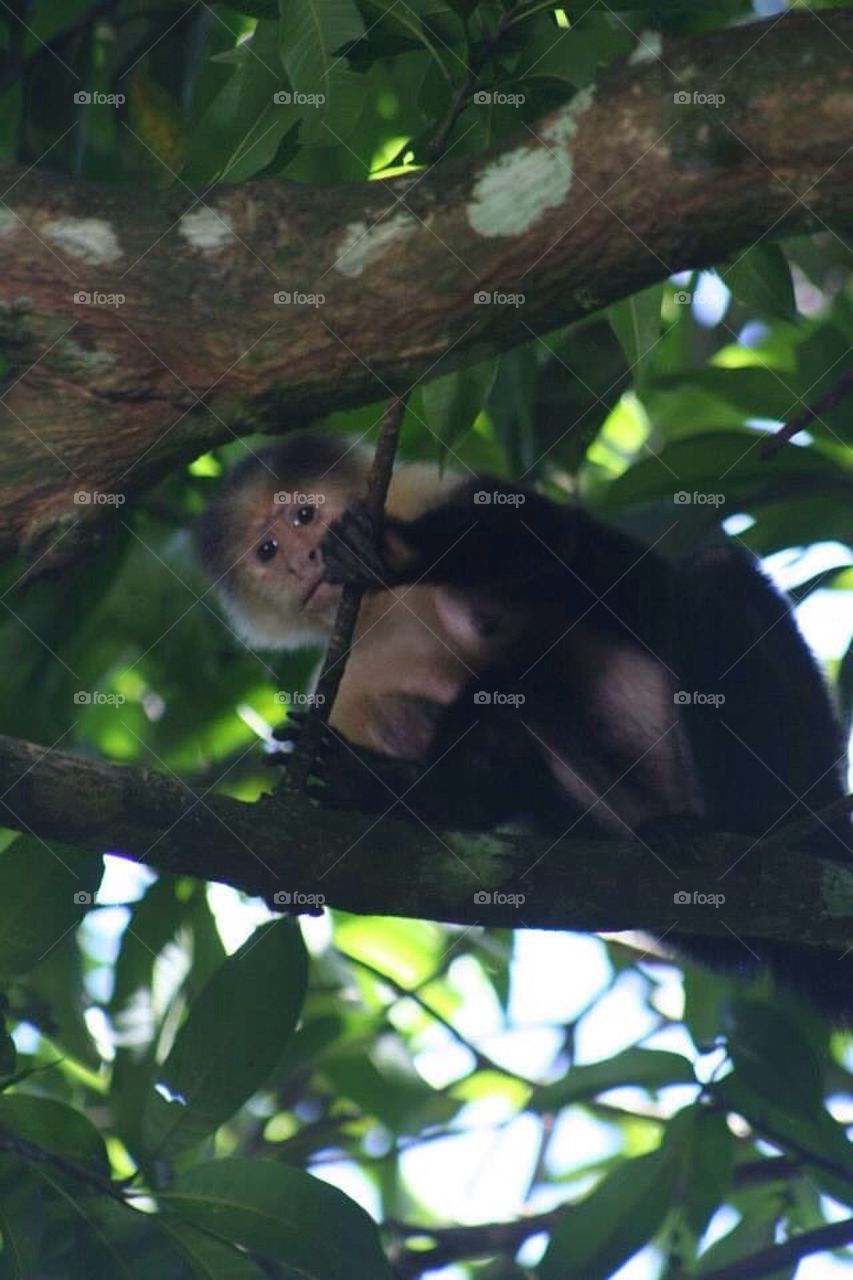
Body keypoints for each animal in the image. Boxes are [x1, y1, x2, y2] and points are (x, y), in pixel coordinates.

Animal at [197, 431, 851, 1014]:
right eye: (266, 551)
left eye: (305, 515)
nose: (302, 560)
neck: (379, 610)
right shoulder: (347, 684)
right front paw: (373, 785)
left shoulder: (429, 490)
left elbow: (560, 544)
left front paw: (396, 553)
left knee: (708, 576)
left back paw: (757, 824)